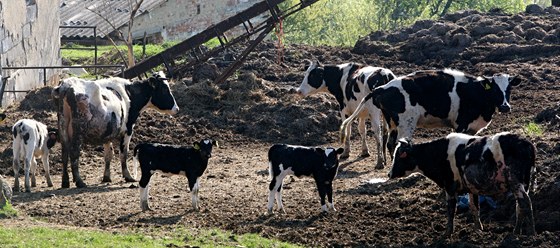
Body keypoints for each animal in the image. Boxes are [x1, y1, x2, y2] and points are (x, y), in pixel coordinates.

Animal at [51, 71, 179, 188]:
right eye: (164, 89)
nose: (176, 109)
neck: (129, 93)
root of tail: (66, 86)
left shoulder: (108, 131)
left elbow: (108, 155)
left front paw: (106, 177)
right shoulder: (128, 130)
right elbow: (123, 154)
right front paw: (128, 176)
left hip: (63, 128)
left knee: (64, 153)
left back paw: (65, 182)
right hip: (78, 131)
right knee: (74, 153)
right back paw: (79, 181)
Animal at [342, 69, 520, 155]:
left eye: (509, 88)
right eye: (495, 89)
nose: (505, 106)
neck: (476, 91)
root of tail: (382, 88)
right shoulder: (461, 124)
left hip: (392, 122)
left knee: (390, 143)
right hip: (406, 123)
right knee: (397, 144)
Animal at [388, 133, 536, 237]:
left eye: (399, 156)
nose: (389, 174)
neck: (439, 153)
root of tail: (527, 143)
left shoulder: (449, 187)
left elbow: (451, 209)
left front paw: (447, 233)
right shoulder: (472, 189)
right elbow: (474, 208)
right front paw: (478, 230)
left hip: (516, 182)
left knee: (526, 203)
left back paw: (531, 233)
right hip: (524, 184)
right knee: (520, 206)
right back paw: (516, 231)